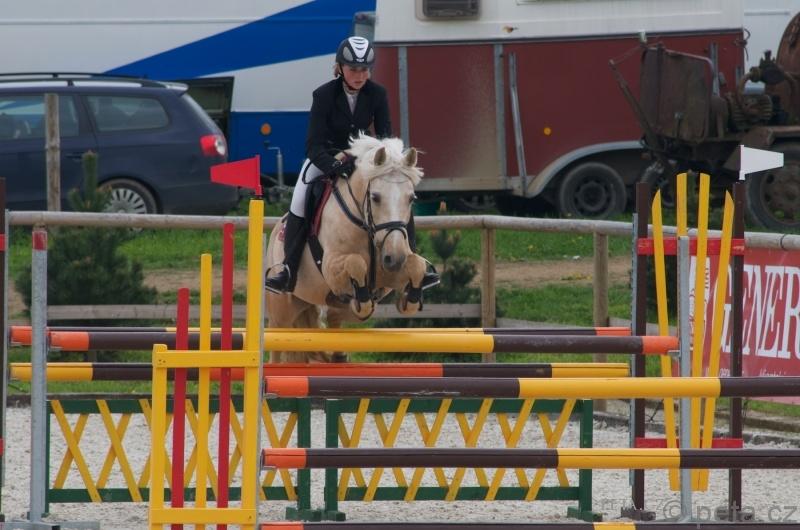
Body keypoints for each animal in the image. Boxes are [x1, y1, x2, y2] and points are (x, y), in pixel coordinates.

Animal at [266, 136, 429, 363]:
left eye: (411, 198)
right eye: (375, 197)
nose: (395, 259)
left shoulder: (390, 273)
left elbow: (417, 265)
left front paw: (409, 299)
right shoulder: (331, 267)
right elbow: (356, 262)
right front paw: (361, 297)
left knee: (333, 317)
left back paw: (339, 354)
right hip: (282, 310)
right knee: (277, 342)